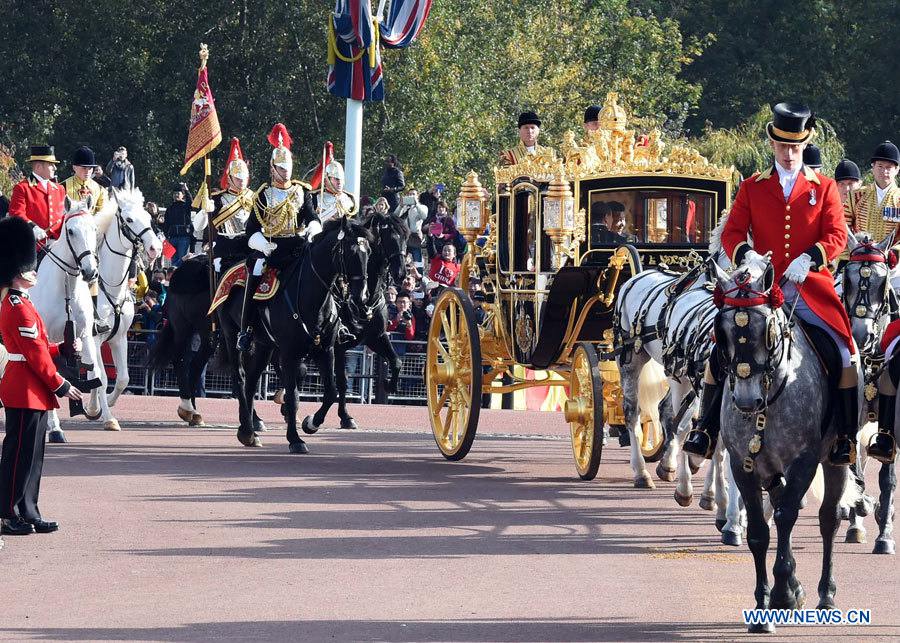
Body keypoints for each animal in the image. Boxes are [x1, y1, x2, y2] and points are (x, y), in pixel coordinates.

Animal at [29, 194, 101, 440]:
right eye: (70, 231)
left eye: (94, 229)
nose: (90, 272)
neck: (66, 288)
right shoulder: (44, 338)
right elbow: (50, 374)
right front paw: (55, 428)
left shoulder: (85, 335)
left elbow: (95, 371)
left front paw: (93, 409)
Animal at [86, 189, 162, 418]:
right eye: (129, 220)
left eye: (148, 217)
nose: (155, 248)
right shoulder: (94, 338)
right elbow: (101, 377)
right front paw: (106, 416)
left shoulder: (118, 338)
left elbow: (122, 378)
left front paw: (98, 406)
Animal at [216, 216, 374, 452]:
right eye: (350, 251)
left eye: (369, 252)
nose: (362, 300)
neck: (312, 296)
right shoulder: (290, 354)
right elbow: (292, 396)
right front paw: (295, 439)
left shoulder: (326, 349)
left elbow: (331, 391)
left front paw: (311, 423)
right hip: (231, 334)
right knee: (241, 378)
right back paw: (247, 430)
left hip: (264, 345)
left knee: (252, 381)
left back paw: (251, 431)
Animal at [306, 210, 412, 432]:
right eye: (388, 237)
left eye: (405, 236)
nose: (401, 273)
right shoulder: (337, 346)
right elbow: (342, 382)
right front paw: (342, 416)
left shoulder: (376, 337)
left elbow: (396, 360)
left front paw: (389, 384)